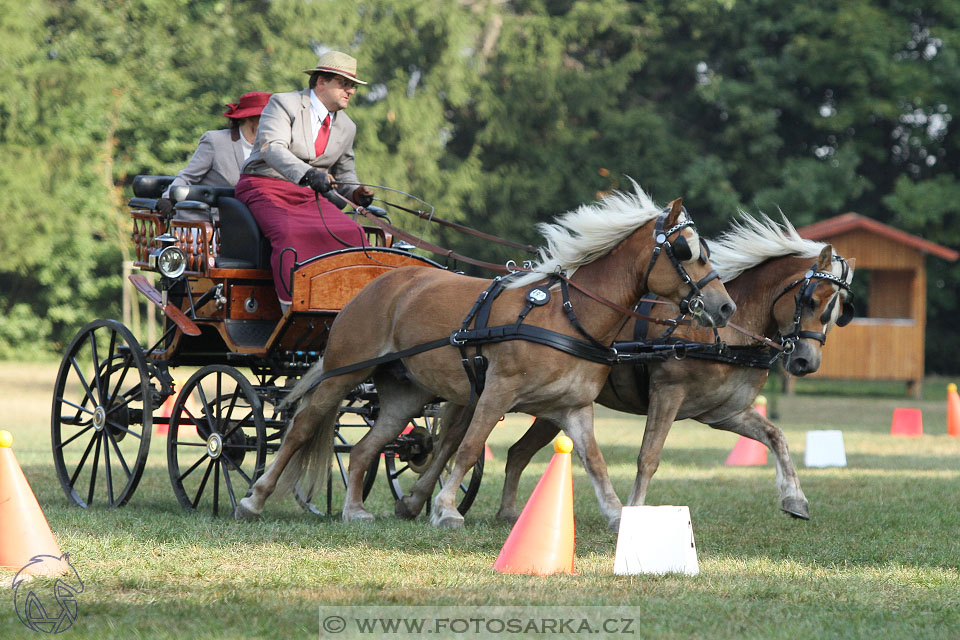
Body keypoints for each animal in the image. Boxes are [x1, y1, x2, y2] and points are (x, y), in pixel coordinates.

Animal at [236, 188, 740, 528]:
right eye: (685, 251)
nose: (724, 307)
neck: (569, 316)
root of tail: (379, 283)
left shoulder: (574, 408)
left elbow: (594, 461)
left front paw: (619, 515)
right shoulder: (497, 391)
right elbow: (470, 444)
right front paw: (445, 509)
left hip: (405, 394)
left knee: (364, 448)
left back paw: (355, 510)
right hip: (345, 372)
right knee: (301, 428)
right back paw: (253, 499)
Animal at [496, 212, 856, 524]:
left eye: (840, 309)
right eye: (811, 300)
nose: (807, 362)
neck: (724, 334)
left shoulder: (723, 412)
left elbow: (775, 435)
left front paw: (795, 499)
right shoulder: (667, 393)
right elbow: (648, 457)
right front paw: (634, 513)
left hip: (555, 407)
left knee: (517, 452)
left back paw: (507, 514)